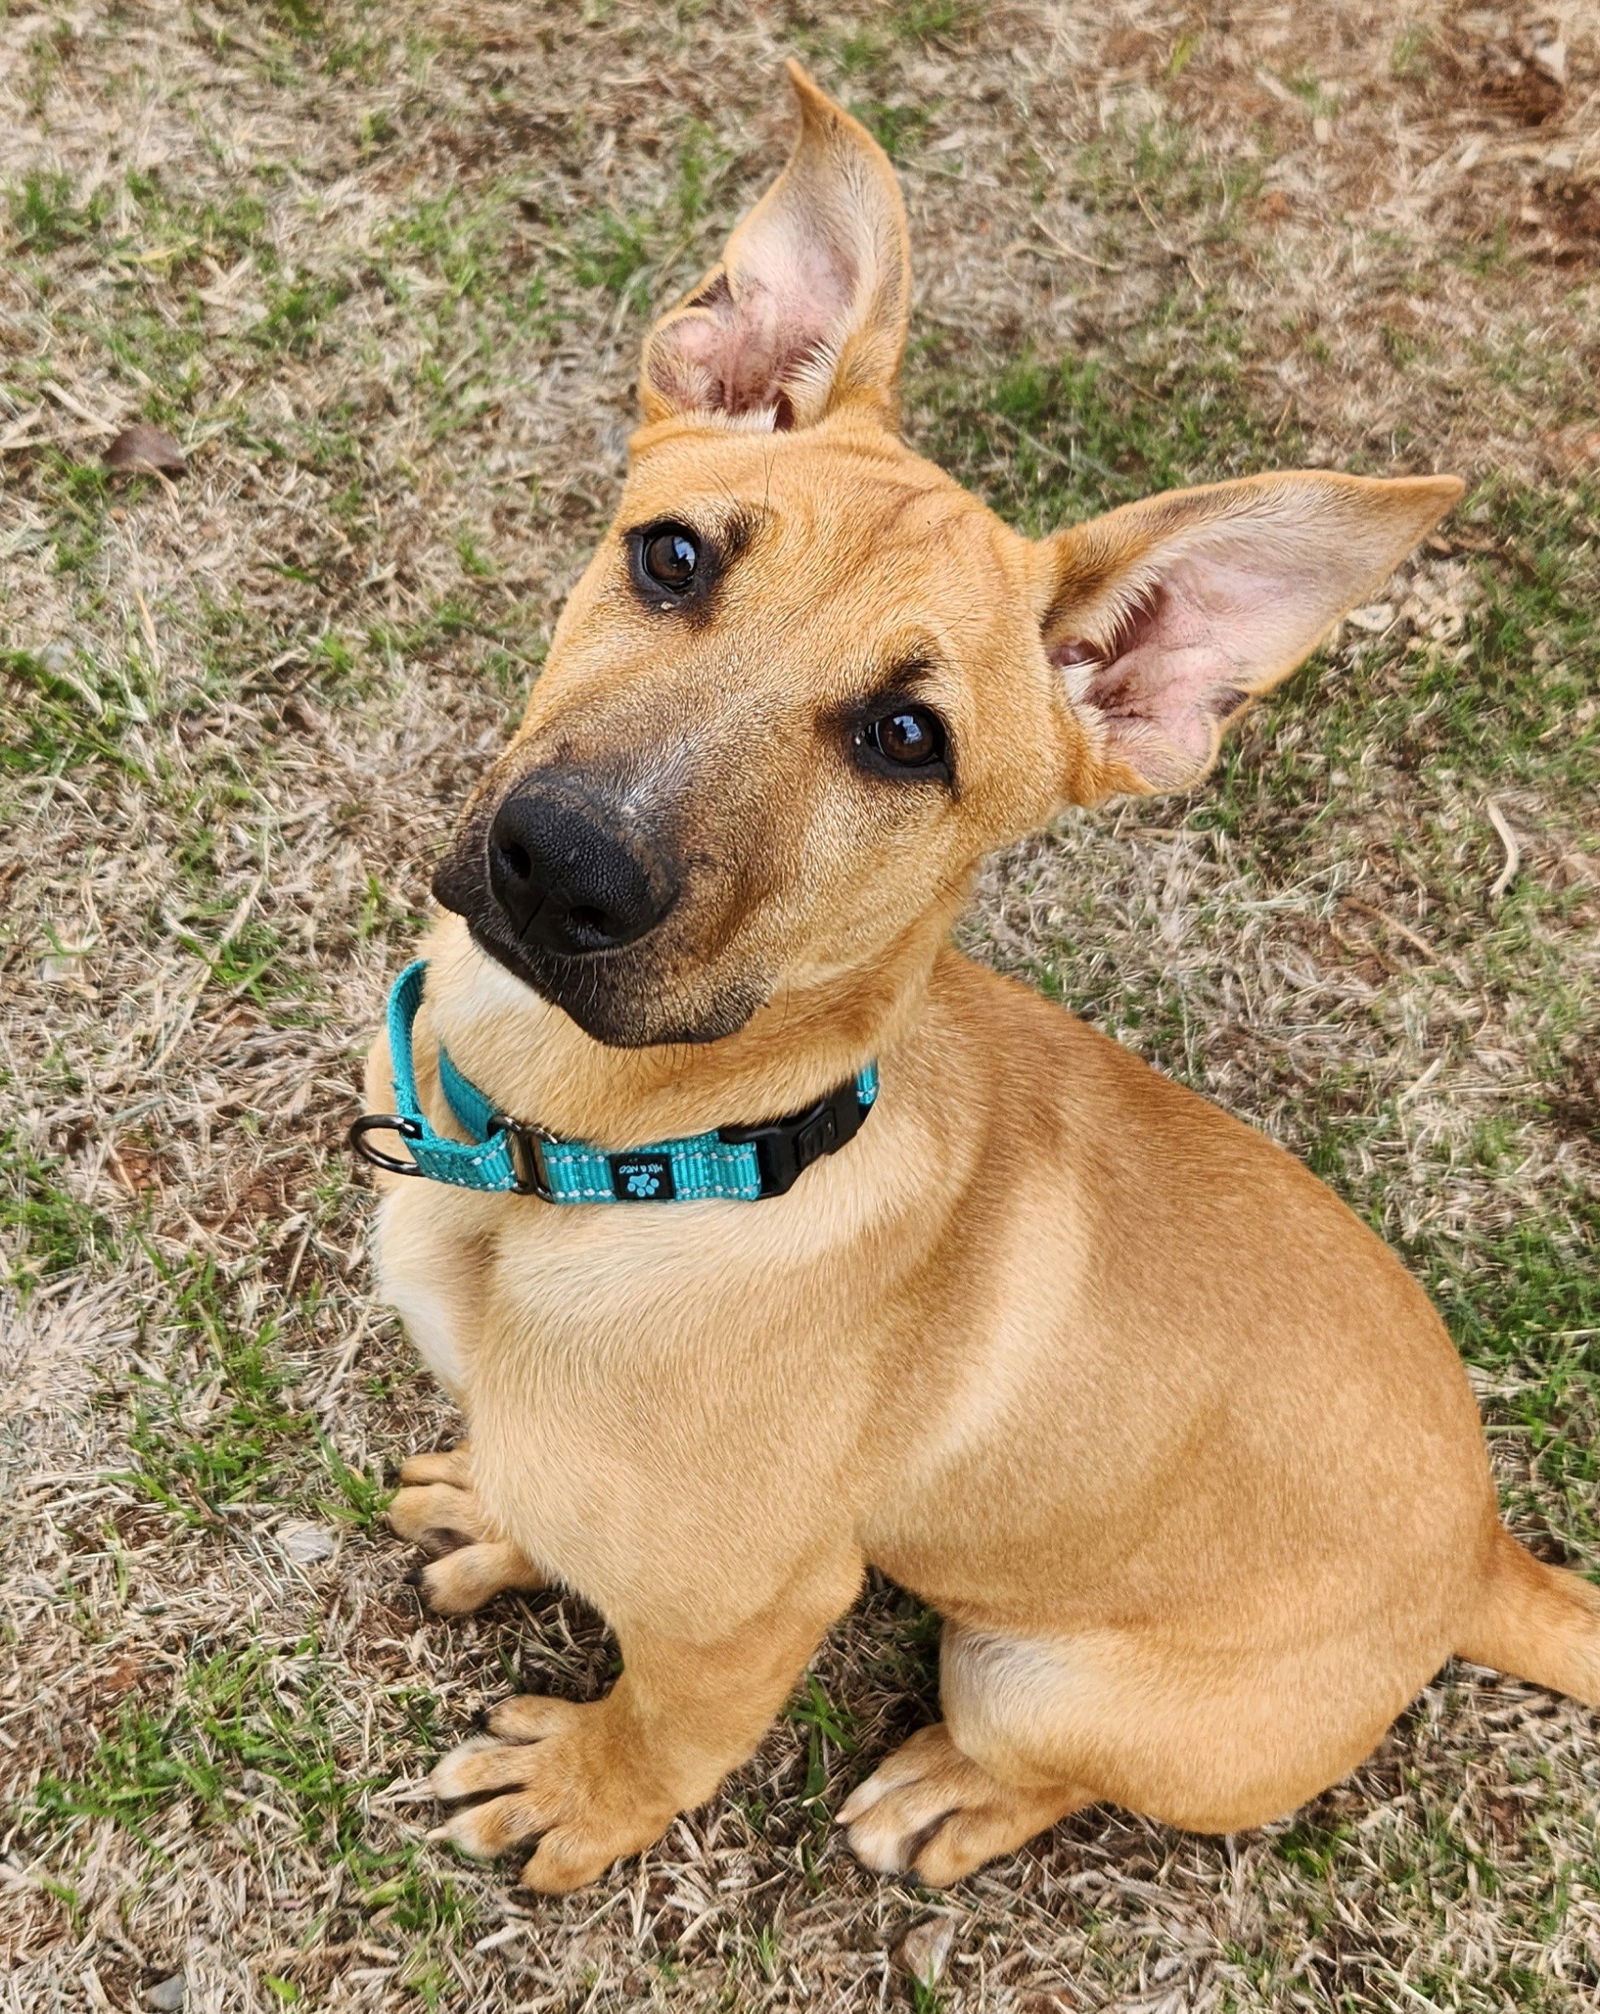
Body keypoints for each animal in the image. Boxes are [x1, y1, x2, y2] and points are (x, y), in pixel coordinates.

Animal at [360, 58, 1595, 1885]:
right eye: (672, 557)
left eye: (905, 737)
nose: (560, 865)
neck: (602, 1160)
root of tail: (1485, 1555)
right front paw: (506, 1516)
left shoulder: (753, 1613)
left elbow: (665, 1728)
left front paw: (582, 1789)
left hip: (1035, 1668)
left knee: (1048, 1763)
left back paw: (950, 1787)